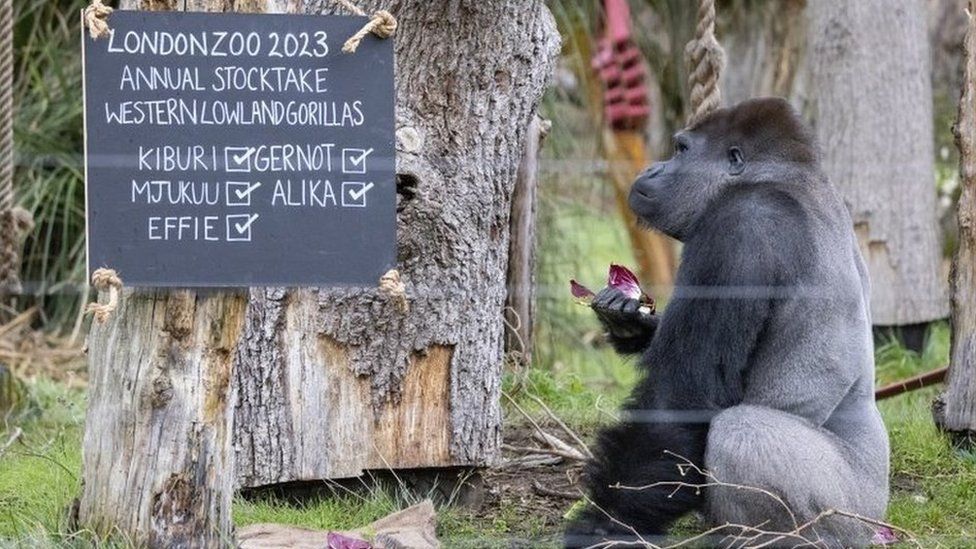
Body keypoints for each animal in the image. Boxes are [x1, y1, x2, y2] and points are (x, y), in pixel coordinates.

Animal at [564, 96, 892, 544]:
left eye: (681, 150)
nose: (652, 170)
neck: (781, 177)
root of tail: (879, 509)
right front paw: (629, 322)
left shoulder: (740, 226)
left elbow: (681, 396)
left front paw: (605, 523)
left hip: (850, 510)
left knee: (740, 431)